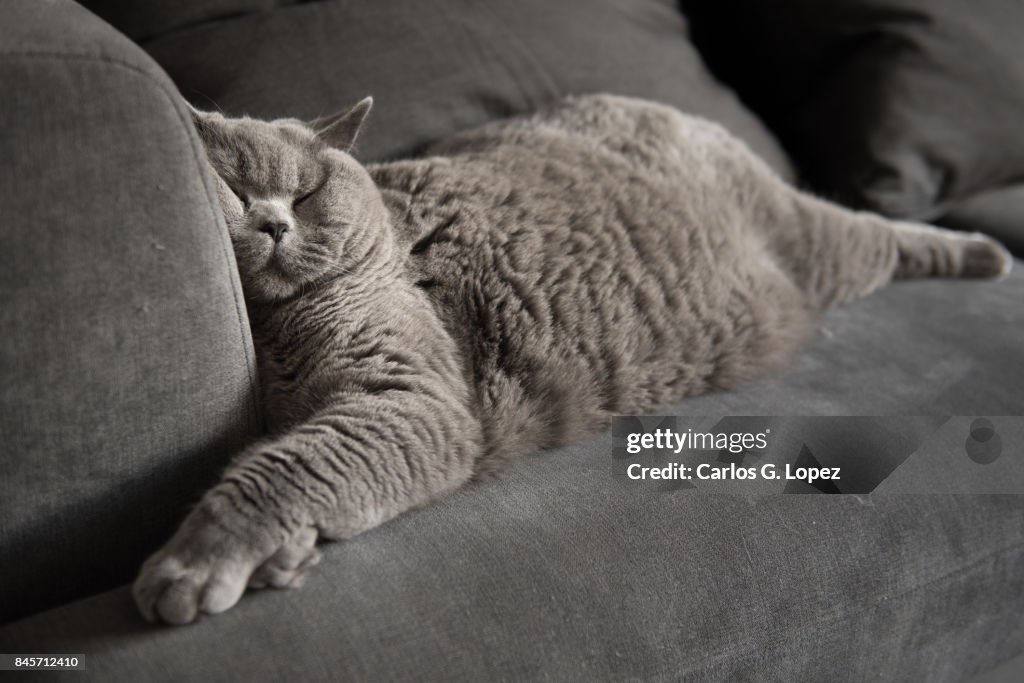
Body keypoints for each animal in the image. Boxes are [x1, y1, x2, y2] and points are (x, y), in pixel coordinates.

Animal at [132, 93, 1011, 622]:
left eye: (308, 192)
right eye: (235, 190)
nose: (274, 223)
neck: (279, 331)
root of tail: (659, 103)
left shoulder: (412, 398)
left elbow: (286, 464)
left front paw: (192, 566)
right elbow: (293, 455)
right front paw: (284, 557)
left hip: (818, 250)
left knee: (882, 232)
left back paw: (987, 254)